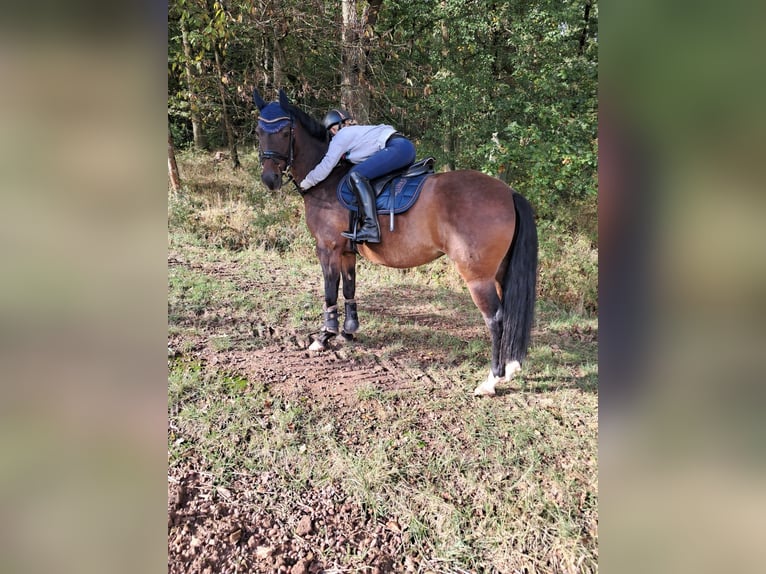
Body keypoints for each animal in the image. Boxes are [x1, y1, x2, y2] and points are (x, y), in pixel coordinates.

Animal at [254, 90, 540, 396]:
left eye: (285, 132)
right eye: (259, 130)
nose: (269, 179)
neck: (327, 180)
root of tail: (508, 192)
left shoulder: (327, 249)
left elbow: (330, 291)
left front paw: (325, 336)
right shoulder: (346, 252)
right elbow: (349, 289)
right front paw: (349, 330)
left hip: (478, 276)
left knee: (496, 319)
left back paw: (491, 380)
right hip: (500, 271)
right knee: (508, 314)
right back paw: (510, 367)